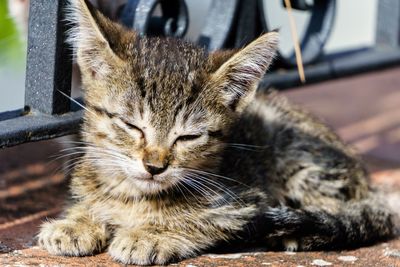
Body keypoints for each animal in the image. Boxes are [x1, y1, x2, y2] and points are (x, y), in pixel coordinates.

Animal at [38, 0, 396, 266]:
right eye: (131, 125)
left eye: (187, 137)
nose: (154, 166)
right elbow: (89, 199)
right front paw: (78, 220)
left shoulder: (243, 204)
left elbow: (200, 219)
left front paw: (151, 234)